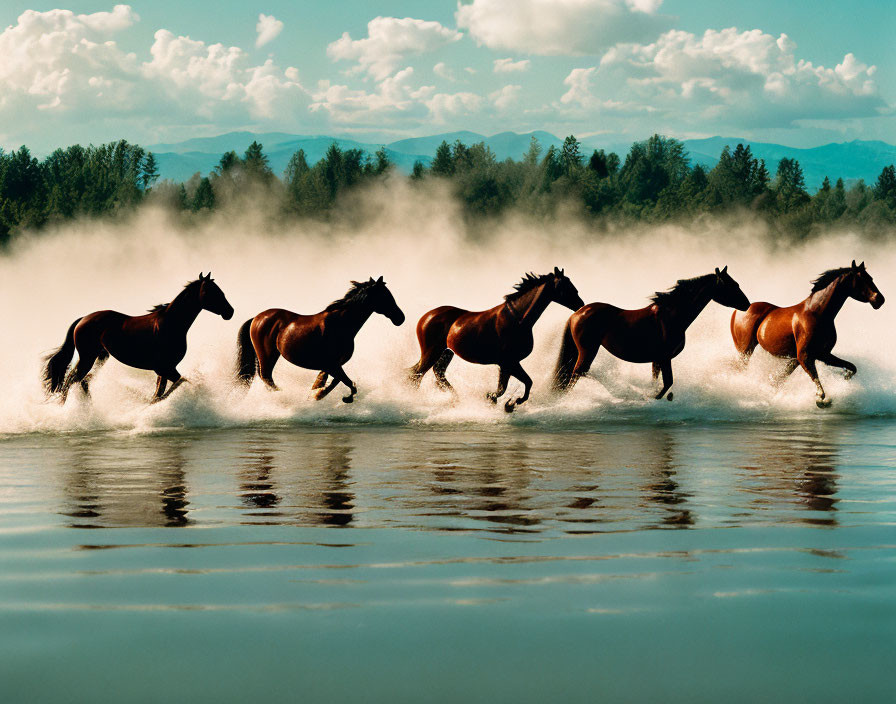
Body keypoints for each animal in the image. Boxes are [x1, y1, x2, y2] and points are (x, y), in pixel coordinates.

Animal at [43, 274, 233, 404]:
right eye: (212, 291)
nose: (229, 312)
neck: (171, 324)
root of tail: (83, 319)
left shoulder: (164, 370)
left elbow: (161, 392)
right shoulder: (164, 368)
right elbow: (179, 384)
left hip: (101, 356)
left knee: (82, 381)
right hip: (87, 357)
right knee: (71, 381)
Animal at [238, 278, 406, 404]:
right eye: (385, 296)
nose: (400, 318)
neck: (340, 324)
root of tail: (256, 318)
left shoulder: (333, 365)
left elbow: (334, 381)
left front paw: (316, 393)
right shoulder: (332, 365)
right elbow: (348, 384)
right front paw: (331, 396)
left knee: (266, 378)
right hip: (267, 354)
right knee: (266, 377)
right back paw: (284, 397)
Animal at [410, 268, 584, 412]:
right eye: (566, 286)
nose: (580, 304)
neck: (517, 319)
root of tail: (425, 317)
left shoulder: (509, 364)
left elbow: (523, 384)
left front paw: (507, 403)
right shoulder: (508, 363)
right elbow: (507, 387)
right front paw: (505, 402)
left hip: (446, 353)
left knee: (436, 373)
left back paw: (454, 398)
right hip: (432, 352)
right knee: (416, 375)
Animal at [552, 266, 748, 398]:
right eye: (732, 285)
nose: (746, 304)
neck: (672, 315)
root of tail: (576, 313)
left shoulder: (657, 360)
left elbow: (656, 382)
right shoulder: (665, 357)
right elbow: (666, 384)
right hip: (588, 351)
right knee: (578, 374)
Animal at [732, 262, 884, 408]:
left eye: (871, 278)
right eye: (862, 279)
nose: (880, 299)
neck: (817, 314)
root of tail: (738, 310)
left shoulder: (822, 355)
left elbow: (851, 367)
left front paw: (845, 378)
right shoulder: (804, 356)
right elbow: (815, 379)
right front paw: (821, 400)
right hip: (745, 351)